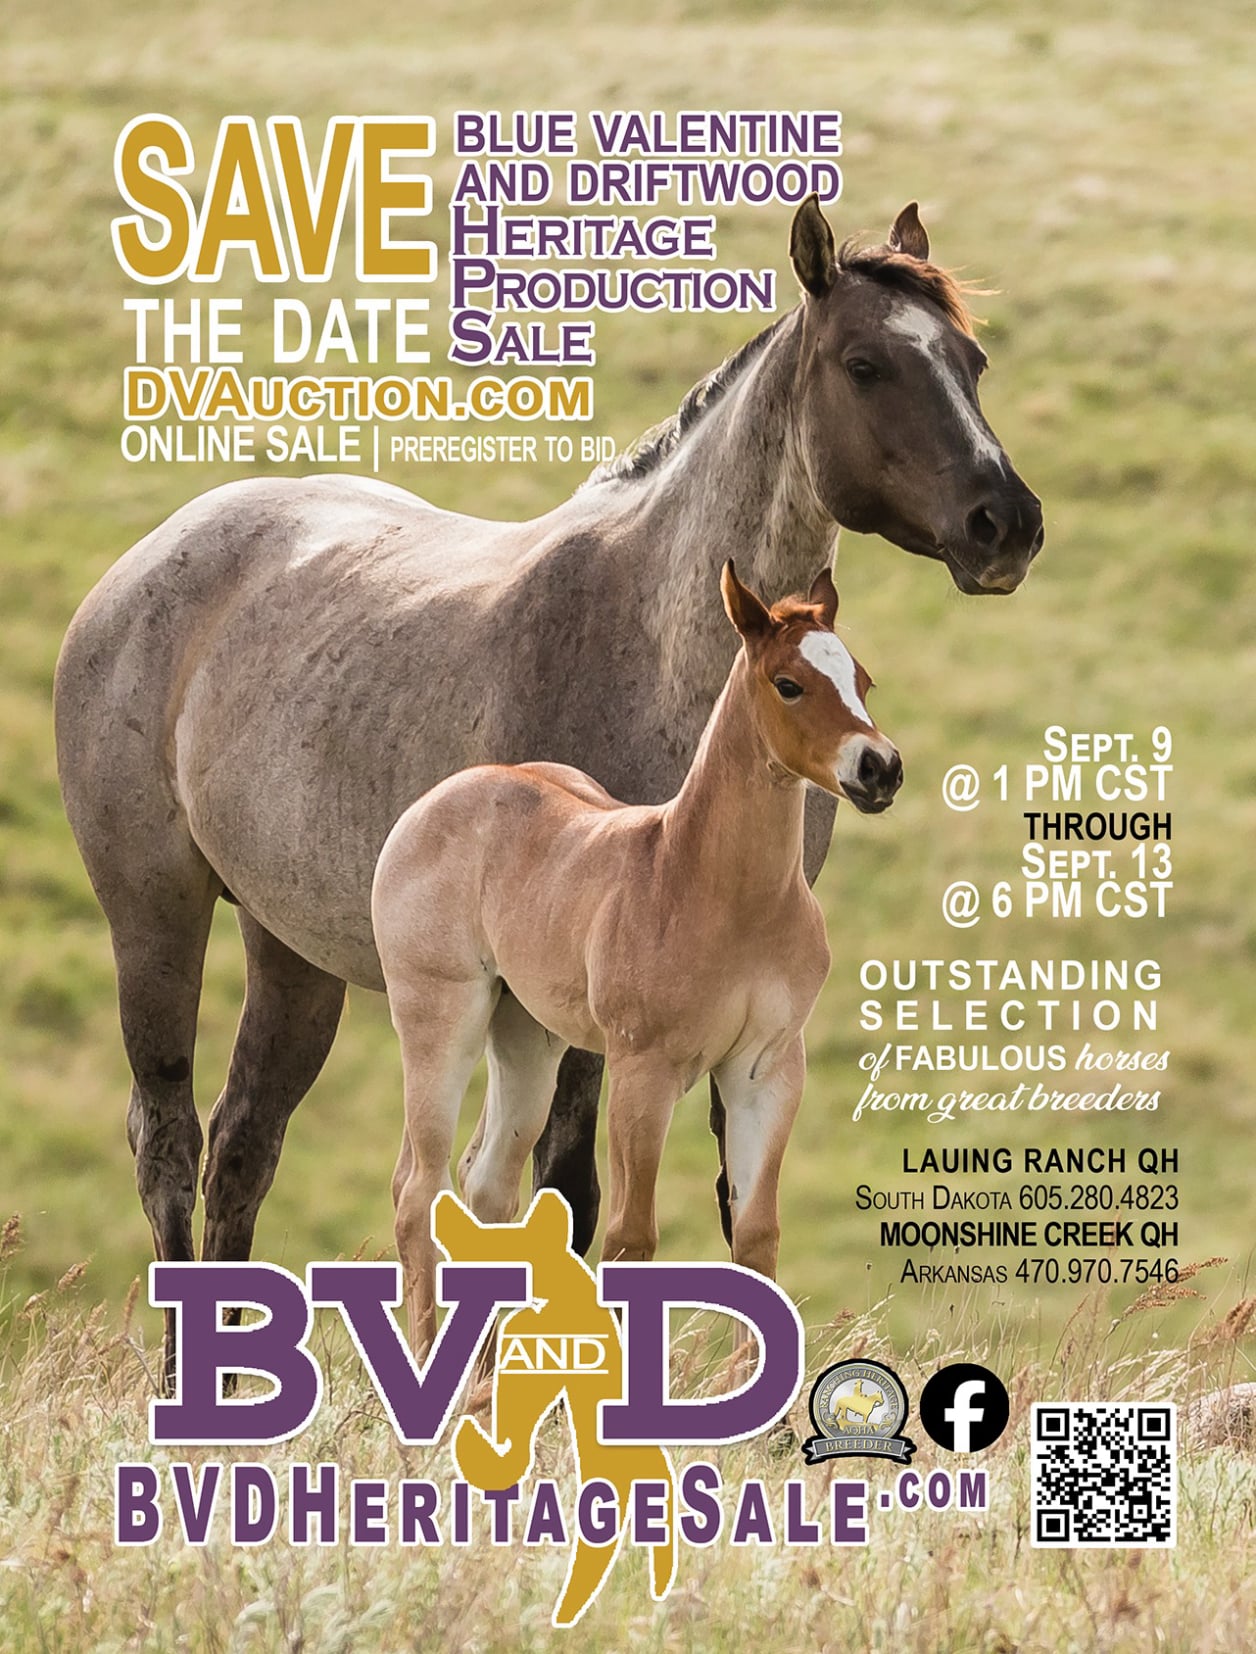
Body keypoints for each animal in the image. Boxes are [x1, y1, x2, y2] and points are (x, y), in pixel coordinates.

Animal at [372, 560, 902, 1352]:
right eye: (789, 684)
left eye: (861, 680)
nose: (880, 769)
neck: (719, 892)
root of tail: (441, 798)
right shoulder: (641, 1071)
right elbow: (631, 1238)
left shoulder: (767, 1071)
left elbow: (756, 1238)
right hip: (441, 1017)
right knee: (419, 1190)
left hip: (527, 1035)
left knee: (488, 1188)